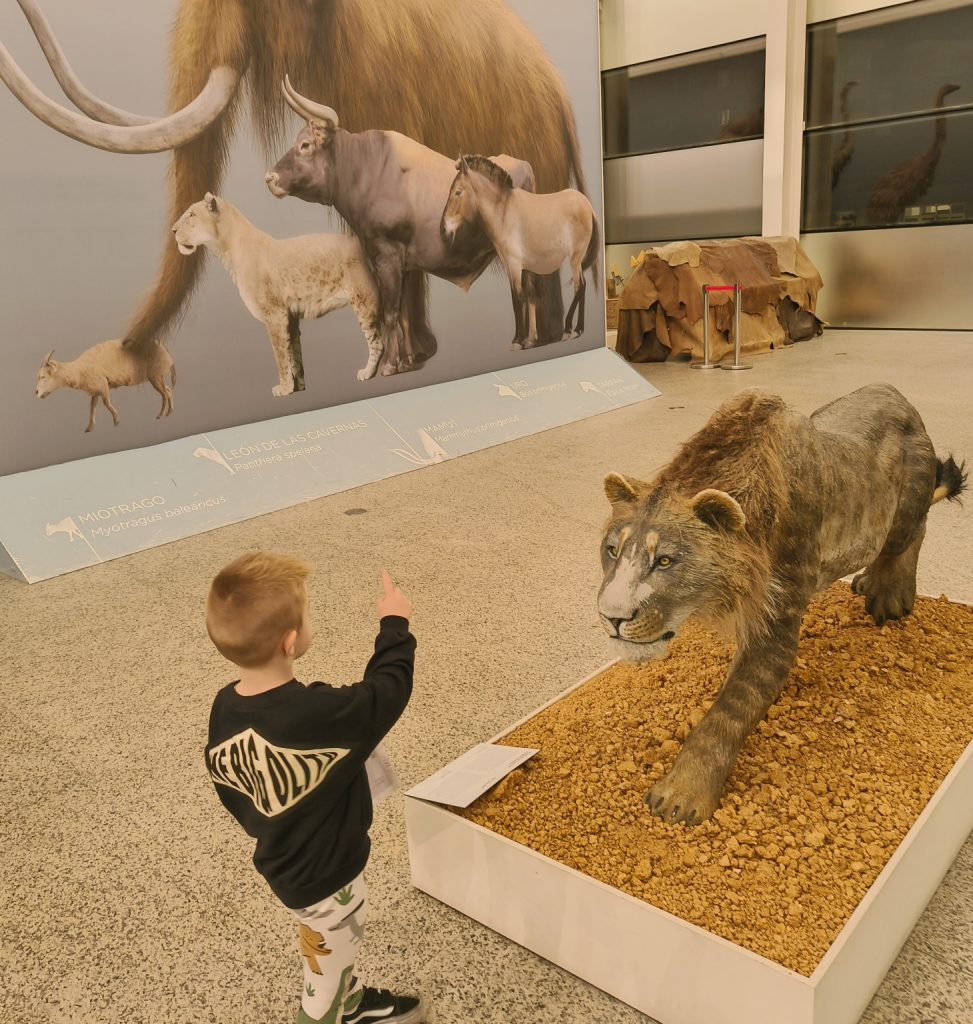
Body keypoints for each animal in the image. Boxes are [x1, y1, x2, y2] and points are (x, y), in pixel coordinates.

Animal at [602, 385, 966, 823]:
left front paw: (681, 796)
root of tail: (897, 395)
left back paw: (888, 596)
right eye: (612, 551)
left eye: (666, 561)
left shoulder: (777, 616)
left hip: (906, 507)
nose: (612, 617)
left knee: (914, 529)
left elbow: (730, 710)